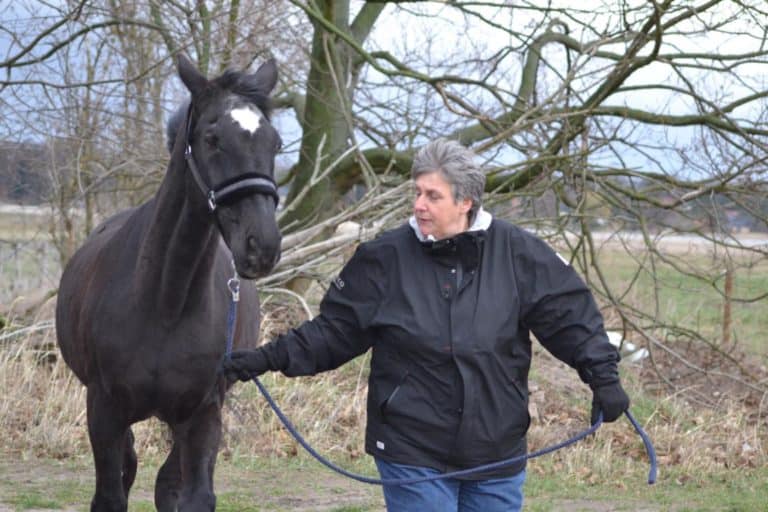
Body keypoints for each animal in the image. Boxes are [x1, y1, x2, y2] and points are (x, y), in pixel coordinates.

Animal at [55, 54, 282, 510]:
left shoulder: (202, 413)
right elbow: (111, 493)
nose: (262, 245)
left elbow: (188, 493)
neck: (165, 301)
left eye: (276, 143)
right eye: (213, 138)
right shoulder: (103, 411)